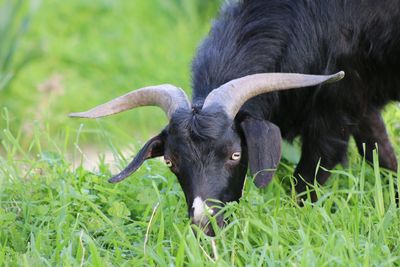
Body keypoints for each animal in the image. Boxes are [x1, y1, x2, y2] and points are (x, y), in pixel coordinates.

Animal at [70, 0, 400, 234]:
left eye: (235, 154)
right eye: (170, 161)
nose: (205, 223)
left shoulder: (334, 115)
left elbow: (306, 181)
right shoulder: (362, 108)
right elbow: (381, 154)